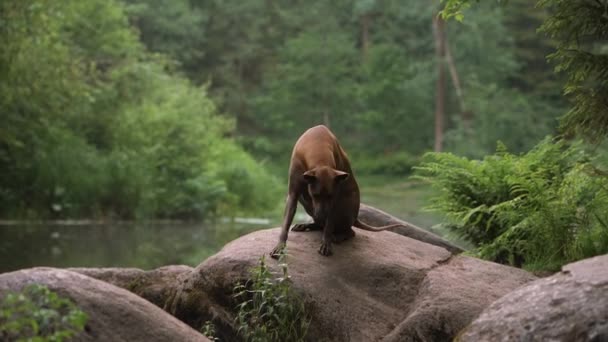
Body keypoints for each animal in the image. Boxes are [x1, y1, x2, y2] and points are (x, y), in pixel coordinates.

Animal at [270, 125, 404, 256]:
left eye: (330, 196)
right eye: (315, 195)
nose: (322, 215)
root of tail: (356, 218)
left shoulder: (335, 197)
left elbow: (329, 225)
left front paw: (326, 243)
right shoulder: (293, 193)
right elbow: (286, 222)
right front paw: (280, 245)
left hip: (346, 203)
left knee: (349, 231)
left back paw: (337, 235)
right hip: (305, 200)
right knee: (322, 225)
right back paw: (308, 225)